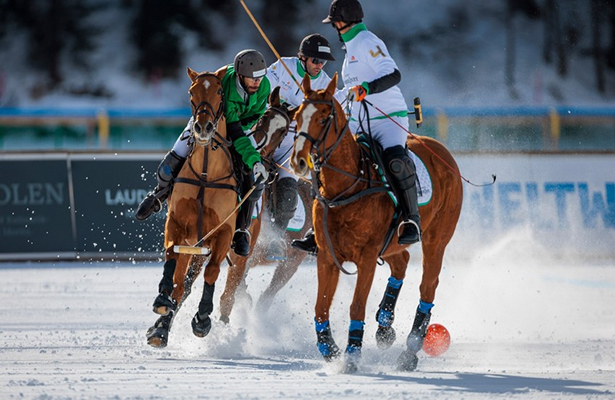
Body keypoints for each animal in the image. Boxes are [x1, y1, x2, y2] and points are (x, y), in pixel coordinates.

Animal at [292, 74, 462, 372]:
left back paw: (409, 352)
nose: (299, 161)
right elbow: (320, 307)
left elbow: (356, 306)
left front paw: (351, 356)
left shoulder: (367, 257)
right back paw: (384, 325)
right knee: (402, 261)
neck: (346, 187)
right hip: (392, 242)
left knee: (428, 286)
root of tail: (442, 150)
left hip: (437, 239)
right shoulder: (327, 256)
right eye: (297, 116)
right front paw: (330, 350)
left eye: (324, 119)